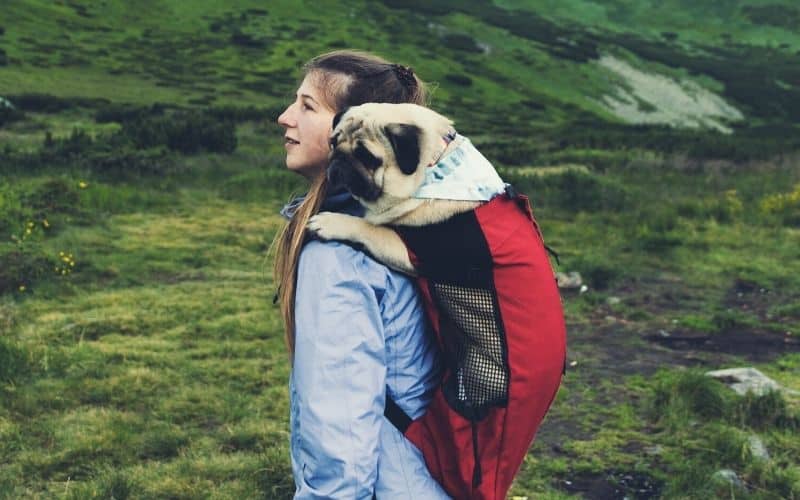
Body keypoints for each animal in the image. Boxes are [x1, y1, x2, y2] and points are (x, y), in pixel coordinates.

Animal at [306, 101, 484, 274]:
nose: (340, 158)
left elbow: (370, 227)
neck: (432, 168)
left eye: (366, 156)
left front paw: (330, 222)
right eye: (333, 143)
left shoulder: (411, 254)